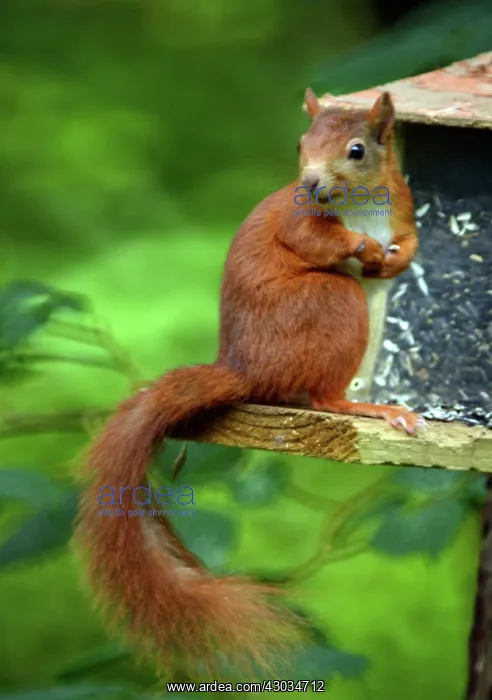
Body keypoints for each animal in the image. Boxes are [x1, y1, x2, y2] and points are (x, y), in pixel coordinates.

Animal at [76, 88, 424, 678]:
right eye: (301, 144)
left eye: (357, 150)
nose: (311, 182)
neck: (361, 203)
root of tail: (244, 367)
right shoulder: (301, 218)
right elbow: (314, 239)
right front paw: (362, 247)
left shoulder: (400, 204)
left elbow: (407, 240)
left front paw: (402, 253)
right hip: (330, 305)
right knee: (324, 389)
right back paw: (371, 408)